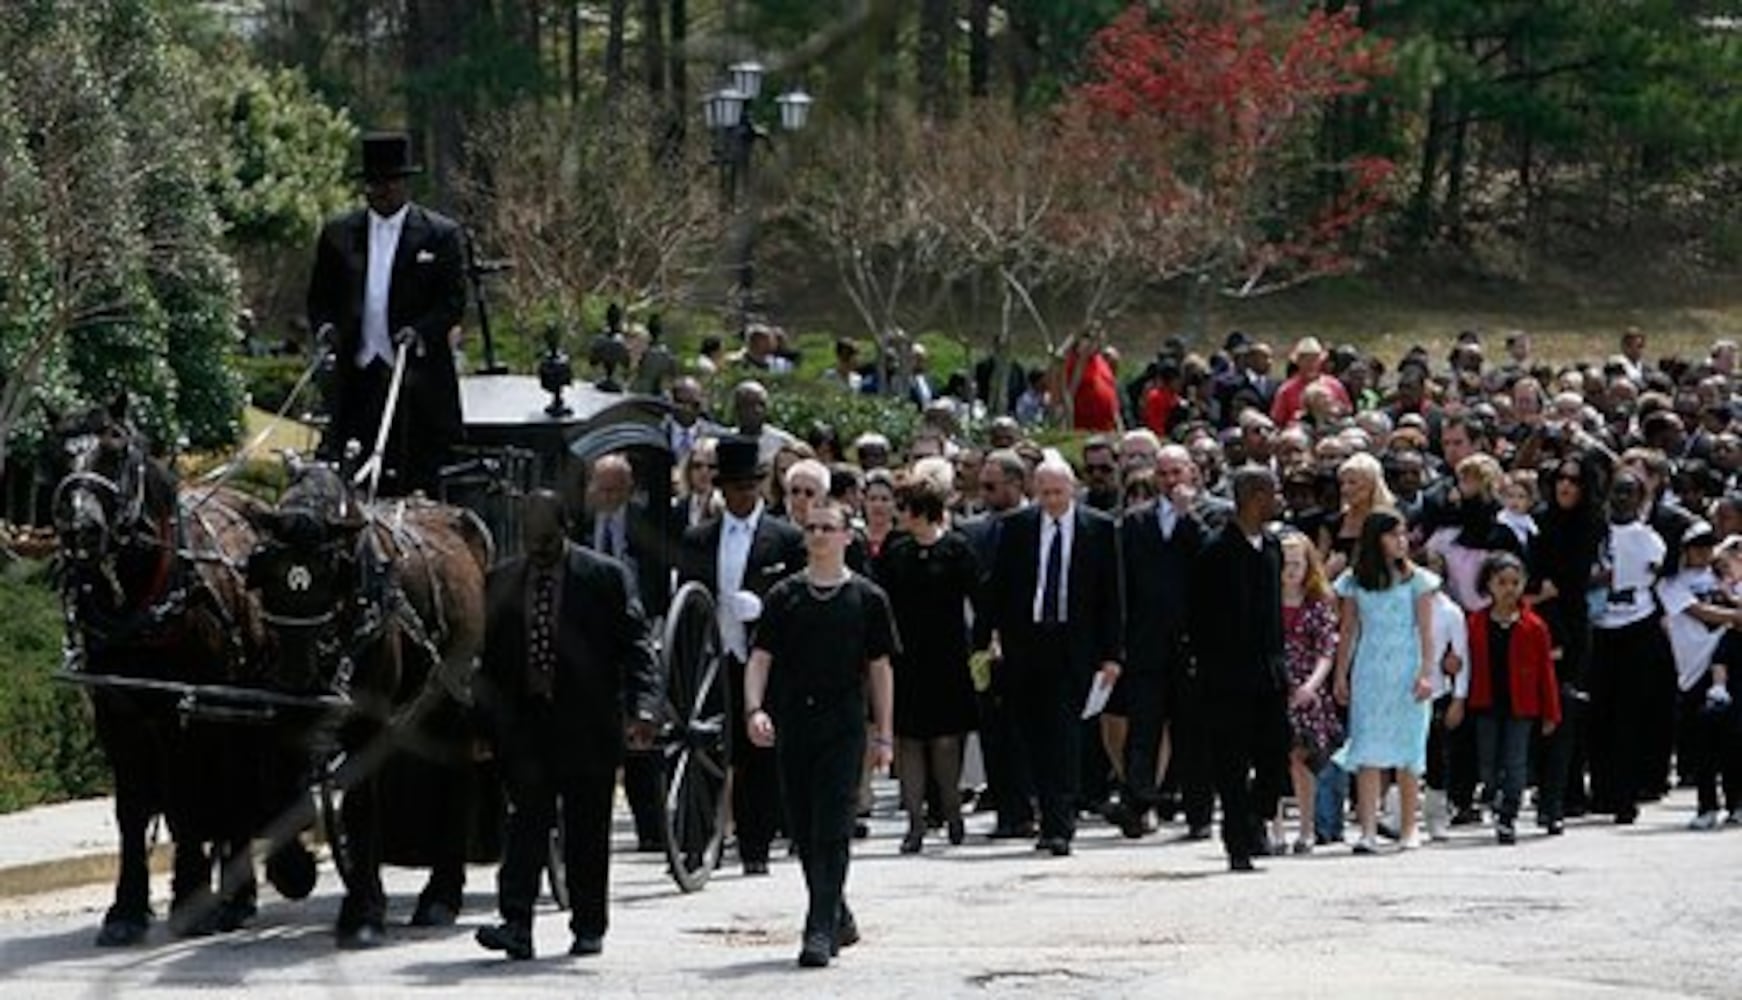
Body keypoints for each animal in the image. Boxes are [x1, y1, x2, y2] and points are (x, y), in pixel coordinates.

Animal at [49, 395, 311, 947]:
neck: (144, 593)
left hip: (238, 706)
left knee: (238, 784)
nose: (81, 527)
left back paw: (245, 891)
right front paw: (126, 909)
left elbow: (185, 798)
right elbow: (133, 809)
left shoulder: (185, 709)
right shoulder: (118, 712)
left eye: (115, 450)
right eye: (55, 456)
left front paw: (191, 895)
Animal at [245, 463, 491, 947]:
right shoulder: (286, 706)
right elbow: (280, 772)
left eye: (327, 574)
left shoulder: (366, 717)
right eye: (271, 573)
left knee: (457, 777)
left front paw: (362, 911)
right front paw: (292, 868)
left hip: (452, 696)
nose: (299, 676)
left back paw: (441, 894)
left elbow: (361, 803)